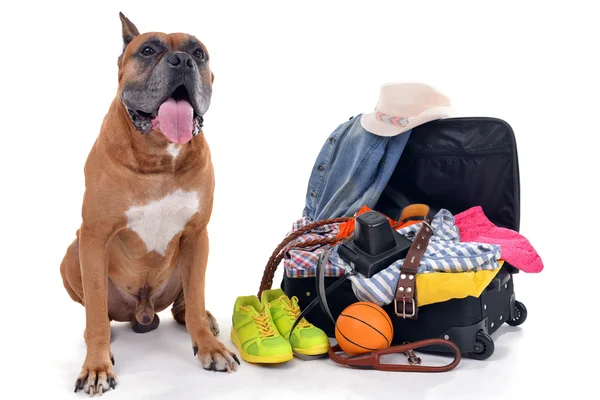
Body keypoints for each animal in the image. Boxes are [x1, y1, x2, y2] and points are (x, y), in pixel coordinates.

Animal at [59, 11, 239, 394]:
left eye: (199, 53)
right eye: (147, 50)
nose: (182, 60)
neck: (159, 154)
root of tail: (142, 313)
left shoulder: (197, 233)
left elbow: (197, 295)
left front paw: (209, 346)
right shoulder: (94, 235)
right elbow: (95, 309)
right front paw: (96, 365)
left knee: (190, 301)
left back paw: (200, 320)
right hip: (72, 252)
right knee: (96, 311)